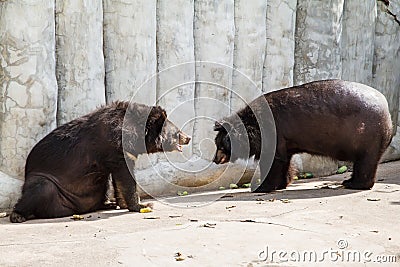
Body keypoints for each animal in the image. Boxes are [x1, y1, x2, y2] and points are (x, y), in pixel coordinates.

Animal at [9, 101, 191, 223]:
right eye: (177, 132)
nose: (188, 137)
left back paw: (107, 204)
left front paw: (122, 204)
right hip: (45, 180)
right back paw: (17, 215)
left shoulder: (122, 154)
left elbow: (119, 181)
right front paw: (144, 205)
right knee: (38, 189)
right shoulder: (117, 149)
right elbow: (126, 178)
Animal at [214, 79, 392, 193]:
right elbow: (285, 160)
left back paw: (354, 184)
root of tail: (387, 113)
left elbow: (273, 161)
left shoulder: (273, 133)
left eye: (220, 145)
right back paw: (349, 181)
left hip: (366, 136)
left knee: (365, 162)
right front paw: (282, 183)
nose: (215, 159)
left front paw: (261, 187)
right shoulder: (286, 140)